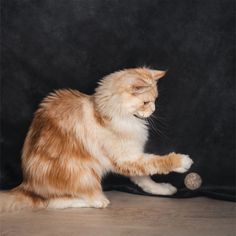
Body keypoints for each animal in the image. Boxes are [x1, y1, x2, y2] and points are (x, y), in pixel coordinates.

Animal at [0, 67, 193, 211]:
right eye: (146, 103)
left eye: (155, 100)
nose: (153, 110)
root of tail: (27, 185)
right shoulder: (126, 158)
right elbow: (156, 163)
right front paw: (181, 161)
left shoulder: (132, 155)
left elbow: (146, 178)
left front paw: (162, 189)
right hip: (83, 171)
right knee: (54, 202)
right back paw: (99, 200)